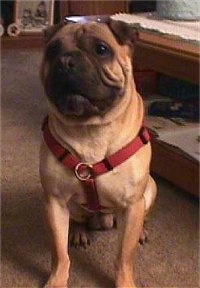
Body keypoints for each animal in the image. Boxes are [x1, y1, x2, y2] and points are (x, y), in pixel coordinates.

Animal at [39, 18, 157, 288]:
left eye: (101, 50)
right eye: (52, 51)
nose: (65, 62)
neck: (90, 128)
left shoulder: (131, 205)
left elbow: (124, 256)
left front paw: (125, 282)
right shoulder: (54, 202)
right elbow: (59, 252)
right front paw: (57, 280)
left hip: (149, 191)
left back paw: (143, 230)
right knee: (77, 220)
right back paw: (79, 233)